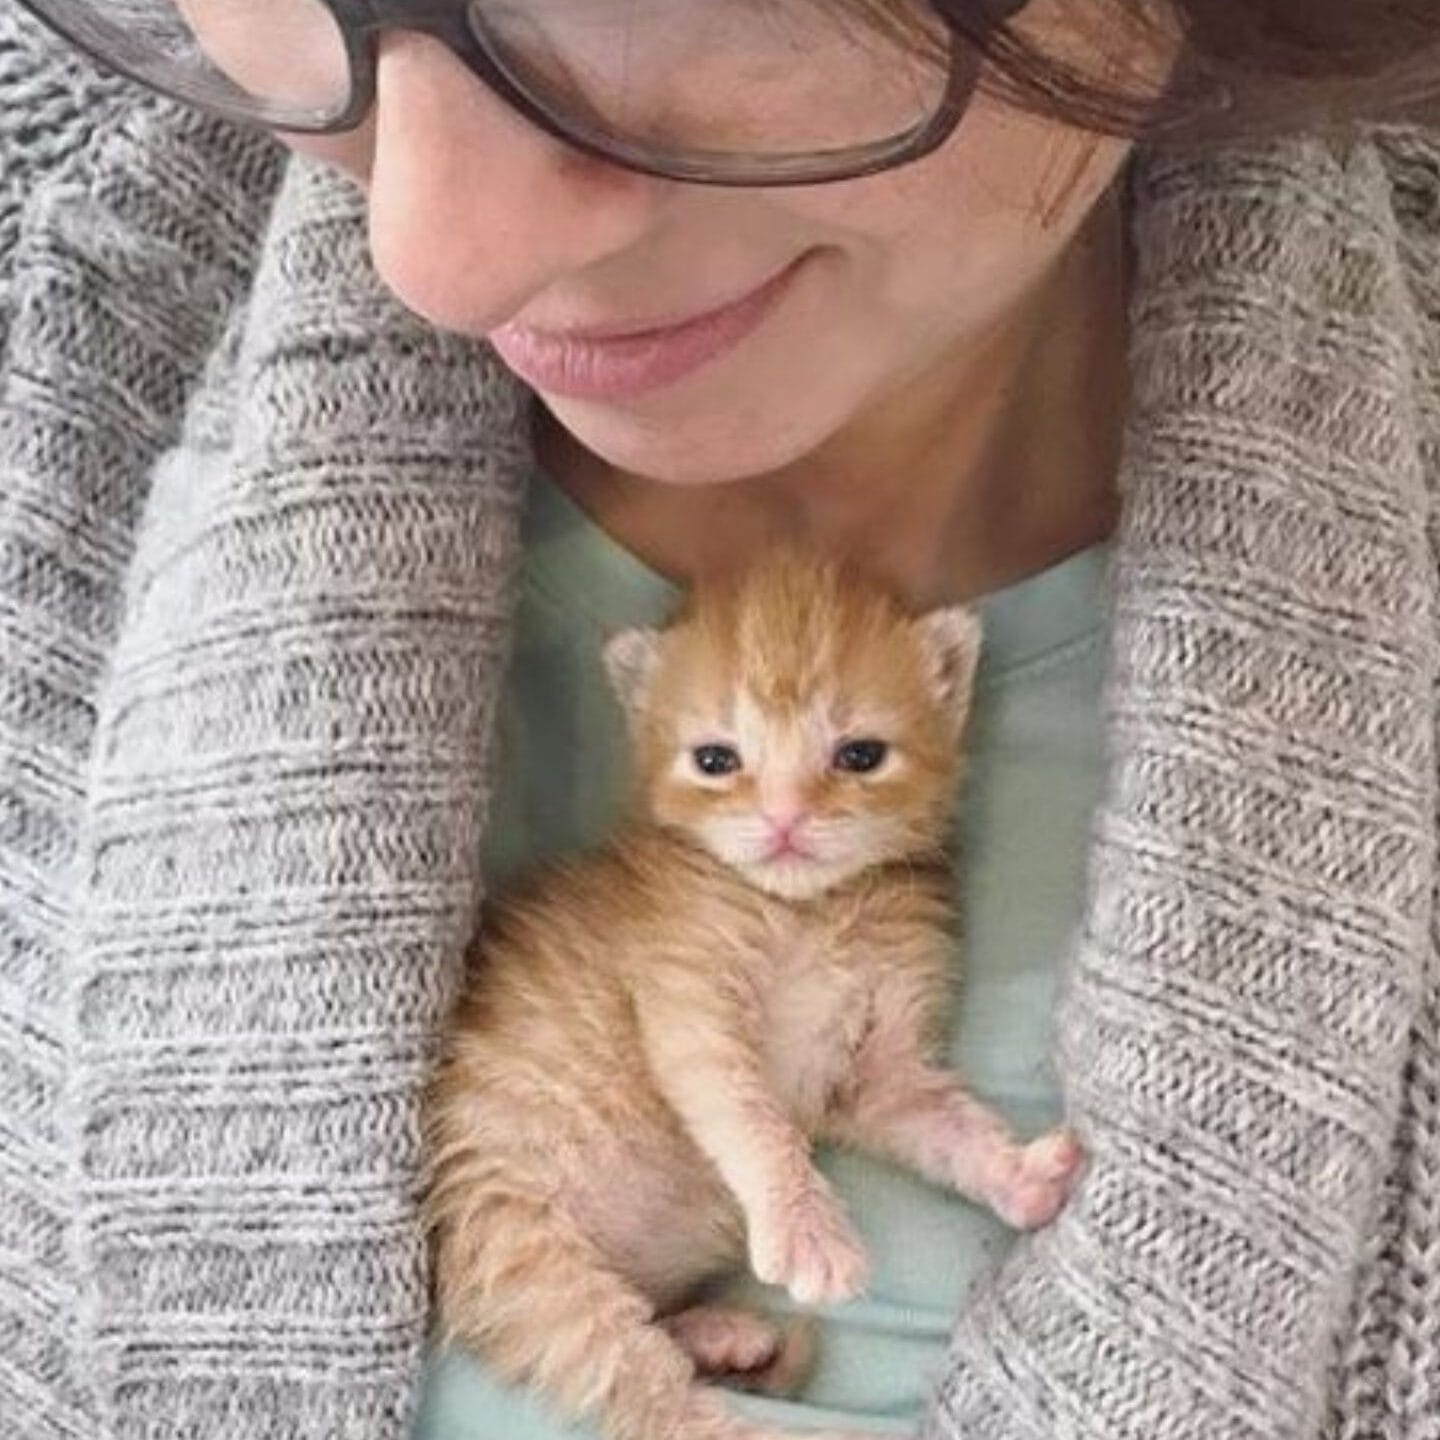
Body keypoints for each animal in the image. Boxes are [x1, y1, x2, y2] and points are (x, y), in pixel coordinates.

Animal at [424, 546, 1083, 1440]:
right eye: (716, 761)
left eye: (860, 756)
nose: (784, 819)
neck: (808, 909)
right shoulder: (686, 998)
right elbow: (750, 1116)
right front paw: (807, 1228)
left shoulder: (881, 1073)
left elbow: (945, 1127)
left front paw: (1016, 1176)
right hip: (515, 1246)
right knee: (640, 1385)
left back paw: (718, 1333)